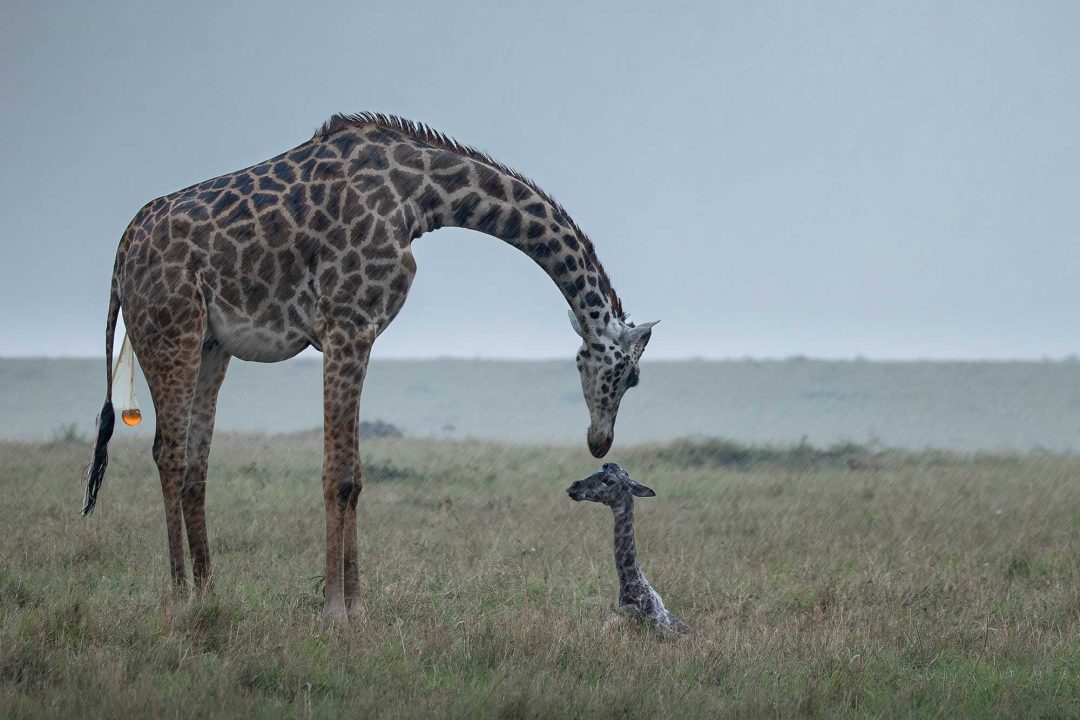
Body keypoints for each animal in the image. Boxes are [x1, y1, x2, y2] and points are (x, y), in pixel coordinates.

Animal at [81, 113, 659, 622]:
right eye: (629, 376)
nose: (600, 441)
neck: (419, 195)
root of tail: (121, 251)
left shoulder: (363, 331)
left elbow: (357, 476)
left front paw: (358, 606)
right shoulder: (346, 323)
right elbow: (337, 475)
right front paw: (335, 610)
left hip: (210, 347)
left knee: (196, 465)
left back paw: (208, 592)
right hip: (170, 332)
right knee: (169, 454)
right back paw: (180, 595)